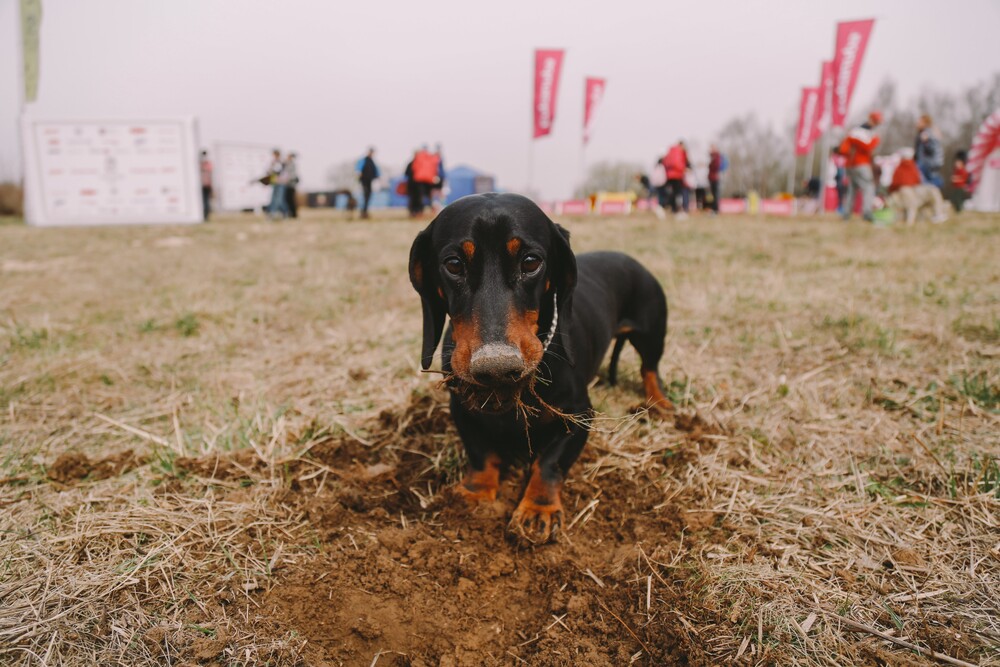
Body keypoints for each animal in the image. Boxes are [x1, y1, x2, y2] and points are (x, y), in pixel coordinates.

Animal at [406, 192, 672, 544]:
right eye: (453, 264)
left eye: (531, 262)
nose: (496, 367)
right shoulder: (462, 411)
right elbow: (481, 454)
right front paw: (475, 493)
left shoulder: (579, 416)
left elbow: (548, 463)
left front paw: (537, 508)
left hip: (652, 335)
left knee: (650, 370)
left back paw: (660, 403)